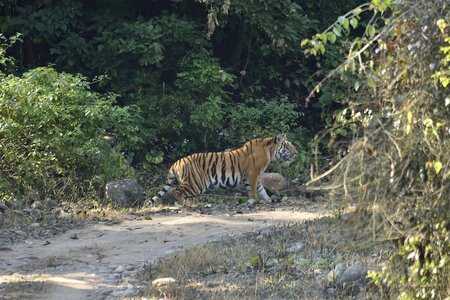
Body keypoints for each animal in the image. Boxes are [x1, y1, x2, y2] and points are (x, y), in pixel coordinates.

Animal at [146, 134, 298, 206]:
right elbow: (254, 191)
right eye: (289, 145)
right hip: (197, 184)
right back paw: (186, 204)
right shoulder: (252, 174)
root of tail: (176, 162)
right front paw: (255, 201)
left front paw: (268, 200)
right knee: (174, 190)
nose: (296, 153)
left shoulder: (255, 177)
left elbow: (262, 191)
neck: (270, 151)